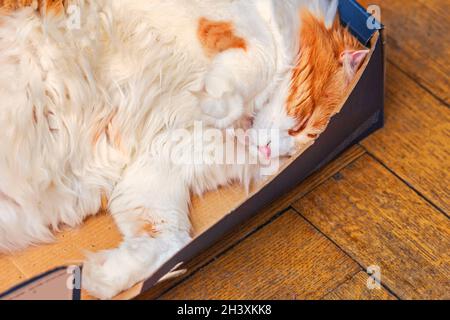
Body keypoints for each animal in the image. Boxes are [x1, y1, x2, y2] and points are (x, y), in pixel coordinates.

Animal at [0, 0, 366, 300]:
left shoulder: (157, 162)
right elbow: (262, 51)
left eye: (302, 145)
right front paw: (219, 98)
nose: (271, 154)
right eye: (301, 124)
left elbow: (170, 240)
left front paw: (97, 277)